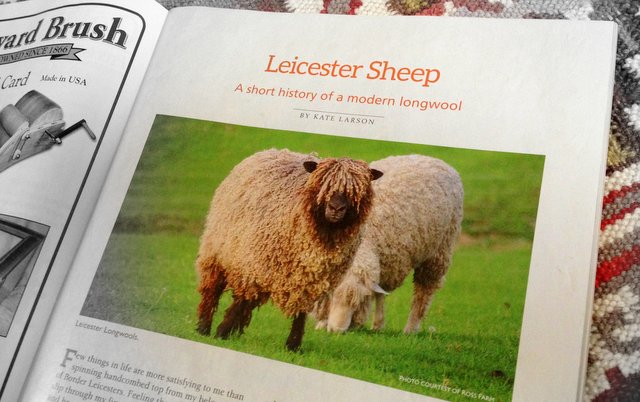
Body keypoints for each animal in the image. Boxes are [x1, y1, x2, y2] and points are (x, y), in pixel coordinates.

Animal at [196, 148, 383, 351]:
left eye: (356, 192)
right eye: (322, 183)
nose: (336, 208)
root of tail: (273, 150)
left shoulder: (310, 279)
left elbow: (300, 312)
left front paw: (293, 345)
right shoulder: (255, 265)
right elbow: (240, 300)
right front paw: (221, 332)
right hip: (219, 250)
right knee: (213, 290)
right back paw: (204, 328)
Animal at [313, 154, 463, 334]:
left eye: (359, 301)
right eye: (333, 296)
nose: (337, 331)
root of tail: (433, 159)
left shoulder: (388, 261)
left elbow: (380, 294)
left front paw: (377, 324)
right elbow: (379, 293)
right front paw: (322, 322)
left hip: (439, 250)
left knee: (423, 292)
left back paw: (411, 328)